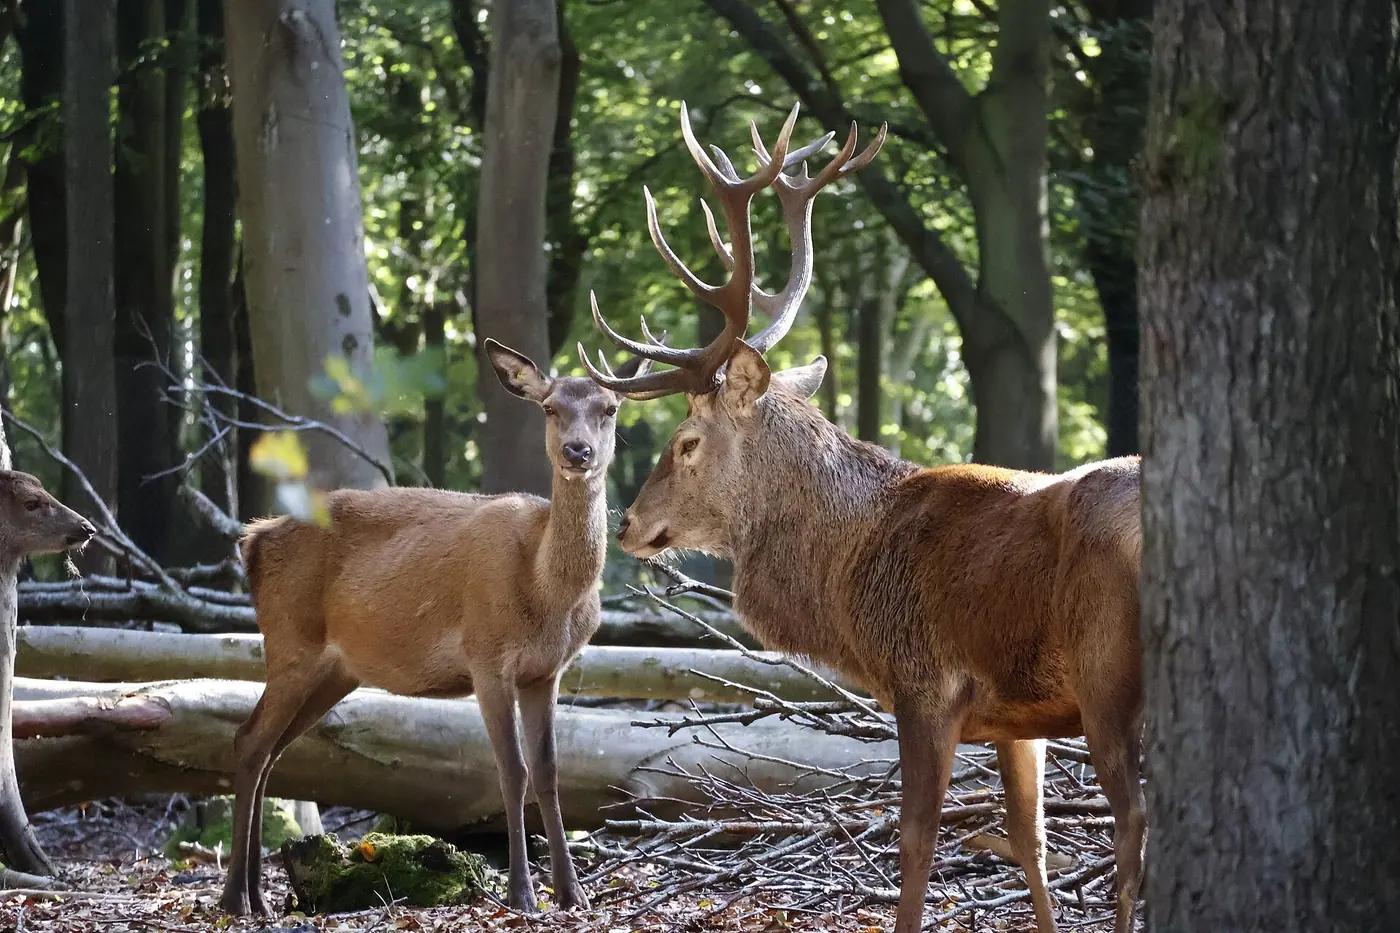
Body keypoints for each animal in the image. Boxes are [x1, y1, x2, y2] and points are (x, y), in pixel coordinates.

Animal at [218, 341, 648, 918]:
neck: (548, 594)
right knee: (248, 741)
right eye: (550, 407)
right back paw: (234, 898)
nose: (577, 452)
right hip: (290, 641)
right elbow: (512, 771)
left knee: (272, 750)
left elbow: (550, 771)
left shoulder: (545, 672)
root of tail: (252, 541)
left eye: (610, 408)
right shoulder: (487, 655)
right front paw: (521, 894)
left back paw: (257, 897)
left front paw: (571, 892)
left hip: (336, 670)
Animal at [580, 104, 1145, 933]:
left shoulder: (923, 680)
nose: (626, 524)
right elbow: (1029, 839)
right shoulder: (1020, 716)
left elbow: (915, 839)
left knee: (1133, 821)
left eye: (686, 441)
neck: (847, 582)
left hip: (1106, 667)